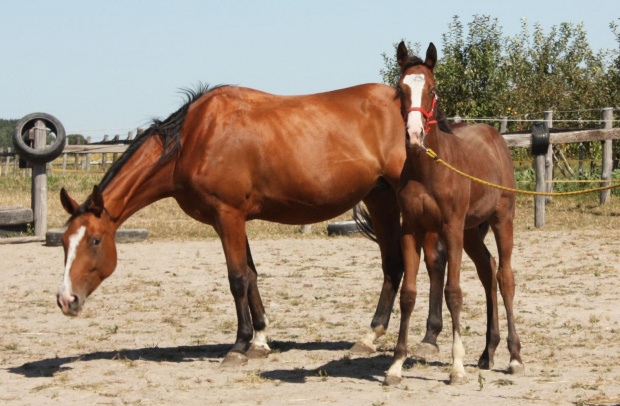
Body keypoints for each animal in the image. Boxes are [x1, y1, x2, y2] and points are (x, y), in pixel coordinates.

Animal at [55, 81, 450, 364]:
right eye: (63, 241)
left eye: (94, 241)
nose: (66, 300)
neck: (195, 137)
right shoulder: (235, 218)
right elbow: (252, 275)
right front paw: (260, 340)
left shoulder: (227, 215)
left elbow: (236, 278)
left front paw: (239, 345)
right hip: (379, 198)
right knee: (394, 265)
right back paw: (369, 337)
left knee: (432, 261)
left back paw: (429, 339)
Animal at [382, 42, 524, 386]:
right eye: (400, 89)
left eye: (432, 89)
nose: (414, 135)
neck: (428, 169)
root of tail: (496, 136)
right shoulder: (412, 229)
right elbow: (408, 294)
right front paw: (396, 365)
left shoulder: (450, 227)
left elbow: (454, 292)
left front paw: (456, 367)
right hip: (471, 231)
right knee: (488, 269)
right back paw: (487, 352)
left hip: (501, 220)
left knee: (505, 276)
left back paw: (514, 357)